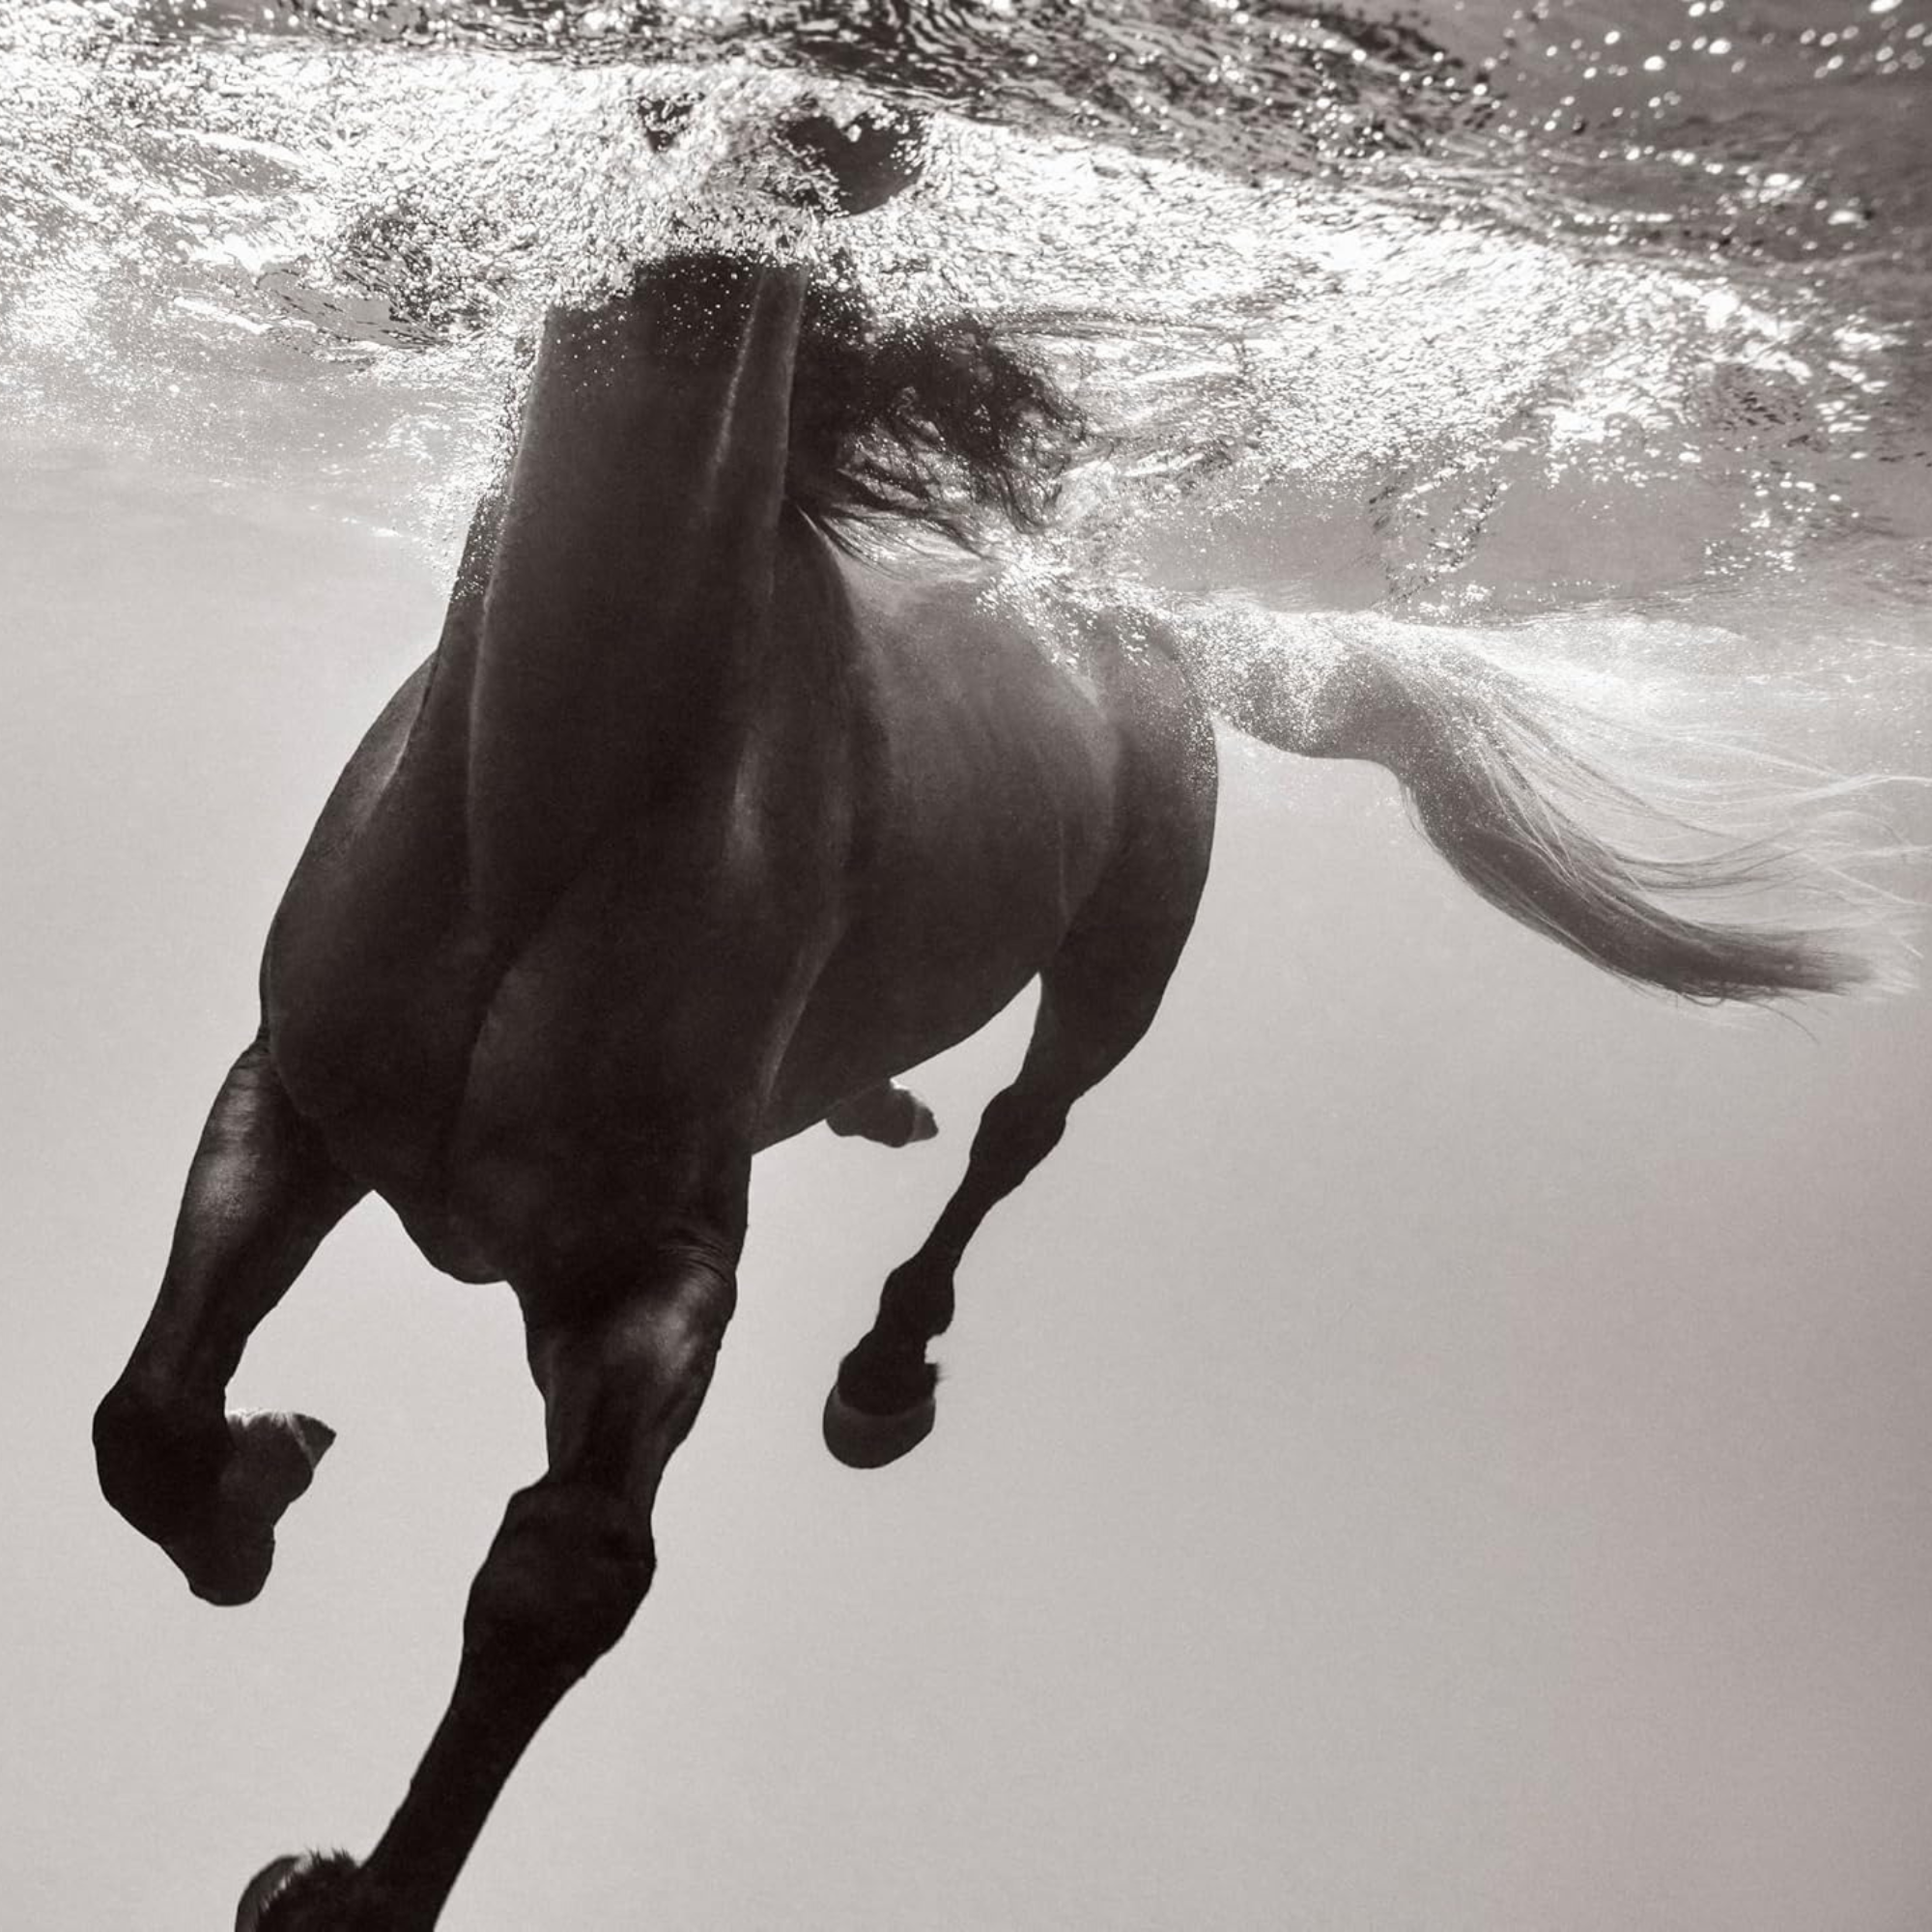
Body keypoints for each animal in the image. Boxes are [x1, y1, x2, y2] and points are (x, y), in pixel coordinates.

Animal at [89, 105, 1874, 1931]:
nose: (839, 119)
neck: (551, 801)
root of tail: (1144, 627)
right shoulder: (290, 1098)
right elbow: (141, 1417)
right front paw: (258, 1482)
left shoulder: (658, 1267)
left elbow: (557, 1575)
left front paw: (343, 1887)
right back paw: (874, 1107)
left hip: (1127, 953)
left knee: (1024, 1133)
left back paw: (885, 1375)